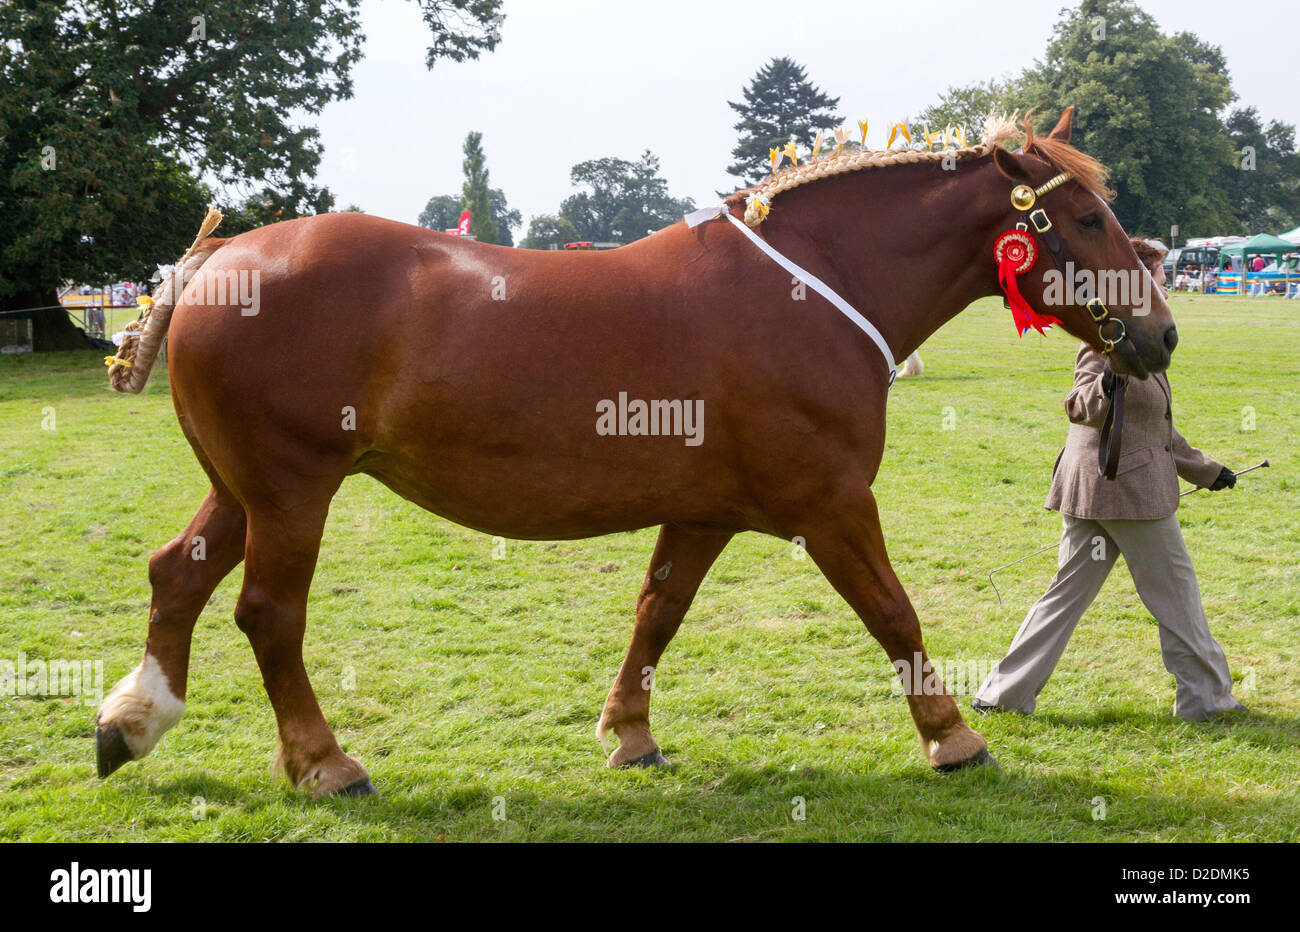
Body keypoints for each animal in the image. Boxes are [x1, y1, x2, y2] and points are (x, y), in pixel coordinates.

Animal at [97, 108, 1178, 797]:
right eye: (1086, 217)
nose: (1161, 337)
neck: (809, 292)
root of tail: (216, 261)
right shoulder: (830, 505)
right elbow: (893, 613)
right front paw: (953, 738)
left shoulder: (703, 511)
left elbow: (657, 614)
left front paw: (628, 734)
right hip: (292, 491)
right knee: (269, 616)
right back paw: (326, 762)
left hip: (243, 490)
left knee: (175, 576)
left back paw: (129, 722)